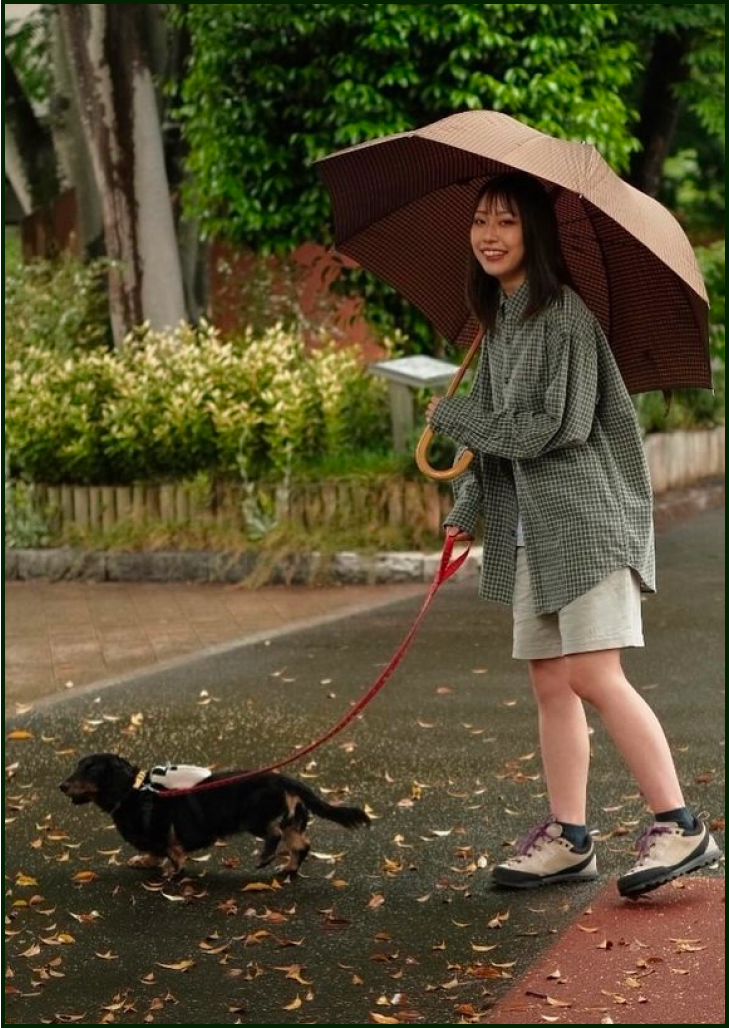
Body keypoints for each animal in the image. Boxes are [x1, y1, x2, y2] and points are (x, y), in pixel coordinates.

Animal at [58, 752, 370, 879]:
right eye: (77, 766)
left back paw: (265, 857)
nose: (61, 786)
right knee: (301, 846)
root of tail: (284, 779)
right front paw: (144, 861)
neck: (134, 791)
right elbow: (154, 853)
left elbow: (171, 853)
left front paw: (172, 871)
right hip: (291, 822)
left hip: (254, 818)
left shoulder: (163, 830)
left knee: (274, 834)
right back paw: (288, 869)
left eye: (90, 770)